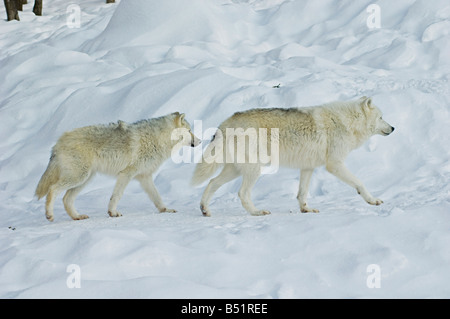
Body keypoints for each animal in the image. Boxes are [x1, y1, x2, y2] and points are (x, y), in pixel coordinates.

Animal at [36, 113, 201, 222]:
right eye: (189, 131)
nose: (200, 141)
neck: (159, 139)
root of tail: (58, 142)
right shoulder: (126, 174)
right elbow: (117, 195)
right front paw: (113, 213)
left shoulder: (144, 177)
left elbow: (157, 197)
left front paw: (165, 210)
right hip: (79, 177)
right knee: (52, 190)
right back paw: (49, 215)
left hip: (84, 179)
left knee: (66, 199)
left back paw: (77, 216)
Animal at [192, 97, 396, 218]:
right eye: (381, 117)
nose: (393, 128)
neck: (347, 122)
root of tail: (225, 123)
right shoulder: (335, 165)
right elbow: (360, 183)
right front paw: (373, 200)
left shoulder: (308, 167)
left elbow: (302, 194)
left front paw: (306, 210)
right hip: (254, 169)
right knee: (242, 193)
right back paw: (257, 212)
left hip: (234, 170)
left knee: (211, 183)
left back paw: (205, 209)